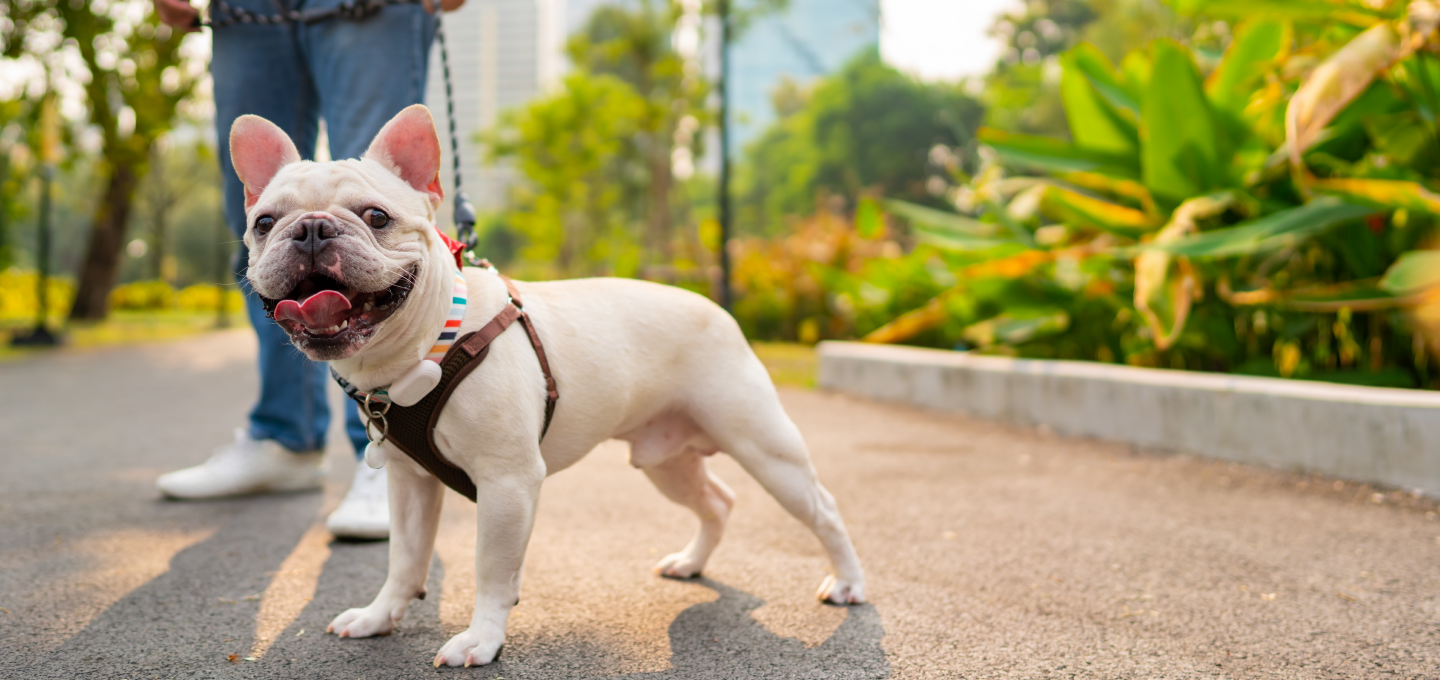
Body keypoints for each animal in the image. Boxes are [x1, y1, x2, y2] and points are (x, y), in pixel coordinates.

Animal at [230, 103, 864, 665]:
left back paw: (848, 583)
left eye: (376, 217)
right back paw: (692, 561)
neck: (418, 354)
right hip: (665, 460)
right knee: (718, 501)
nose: (312, 230)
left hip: (765, 447)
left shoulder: (508, 483)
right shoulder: (410, 484)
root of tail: (716, 306)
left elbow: (491, 568)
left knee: (824, 508)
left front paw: (481, 641)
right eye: (264, 223)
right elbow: (404, 558)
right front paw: (378, 616)